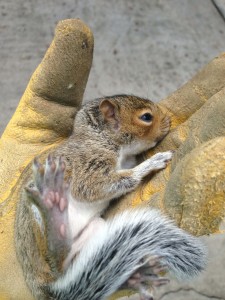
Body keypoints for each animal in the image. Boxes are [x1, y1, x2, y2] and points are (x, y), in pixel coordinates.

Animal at [14, 95, 207, 300]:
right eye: (146, 117)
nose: (168, 120)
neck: (101, 138)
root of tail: (42, 287)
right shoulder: (85, 164)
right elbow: (96, 185)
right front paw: (149, 164)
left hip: (95, 232)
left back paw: (134, 278)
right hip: (38, 225)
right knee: (57, 259)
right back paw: (53, 207)